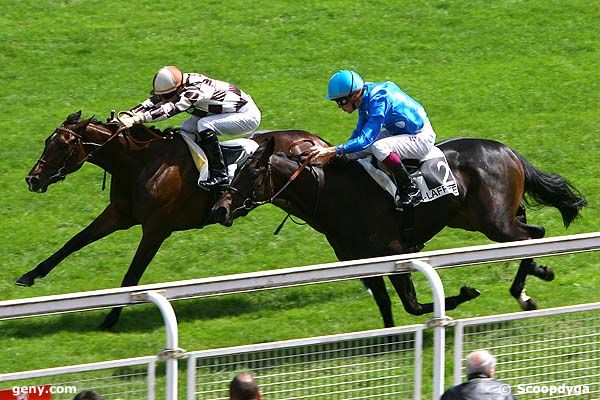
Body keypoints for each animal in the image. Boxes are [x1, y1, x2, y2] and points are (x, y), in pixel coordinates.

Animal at [18, 111, 328, 328]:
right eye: (47, 141)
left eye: (63, 145)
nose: (33, 179)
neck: (141, 163)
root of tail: (318, 142)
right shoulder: (119, 214)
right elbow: (74, 241)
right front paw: (29, 275)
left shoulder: (156, 228)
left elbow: (132, 276)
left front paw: (109, 319)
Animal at [213, 136, 588, 326]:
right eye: (233, 170)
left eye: (250, 173)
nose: (220, 209)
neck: (331, 194)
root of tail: (506, 149)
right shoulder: (363, 264)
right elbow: (387, 307)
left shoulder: (396, 252)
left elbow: (413, 305)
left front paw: (465, 294)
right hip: (475, 218)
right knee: (535, 232)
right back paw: (541, 273)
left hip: (494, 222)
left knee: (527, 238)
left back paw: (522, 294)